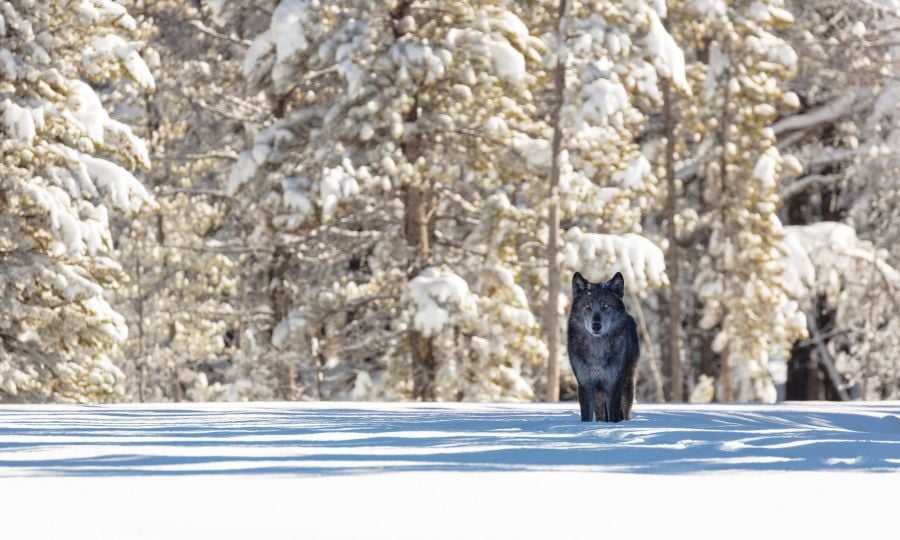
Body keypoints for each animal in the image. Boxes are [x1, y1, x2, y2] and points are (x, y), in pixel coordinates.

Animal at [567, 271, 639, 422]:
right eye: (588, 306)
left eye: (606, 306)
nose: (596, 326)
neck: (597, 349)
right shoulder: (585, 384)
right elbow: (586, 416)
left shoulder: (613, 384)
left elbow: (614, 415)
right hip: (599, 395)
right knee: (600, 414)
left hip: (627, 385)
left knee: (626, 411)